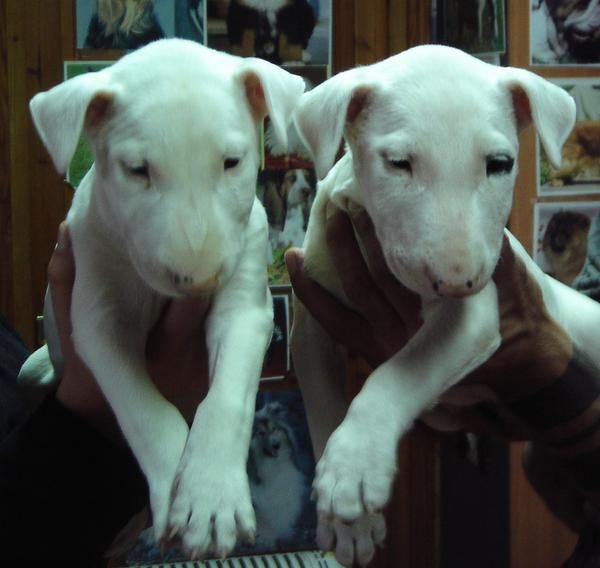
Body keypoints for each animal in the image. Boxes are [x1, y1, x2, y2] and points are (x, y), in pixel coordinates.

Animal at [23, 38, 304, 560]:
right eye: (137, 171)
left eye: (232, 162)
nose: (197, 280)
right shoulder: (98, 319)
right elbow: (144, 409)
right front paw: (181, 487)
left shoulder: (245, 305)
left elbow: (227, 398)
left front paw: (210, 494)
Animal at [290, 45, 600, 568]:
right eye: (399, 163)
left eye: (500, 163)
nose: (458, 282)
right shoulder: (312, 324)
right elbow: (322, 406)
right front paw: (350, 525)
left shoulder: (478, 316)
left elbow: (396, 372)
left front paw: (354, 464)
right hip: (544, 462)